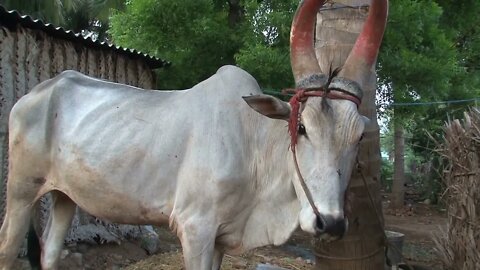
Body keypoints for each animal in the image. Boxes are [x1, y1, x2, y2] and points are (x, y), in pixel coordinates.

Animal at [0, 0, 386, 270]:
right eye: (302, 126)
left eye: (358, 138)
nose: (330, 223)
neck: (254, 146)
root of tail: (39, 91)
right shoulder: (195, 227)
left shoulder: (219, 239)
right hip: (21, 189)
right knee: (7, 248)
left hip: (64, 195)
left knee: (50, 252)